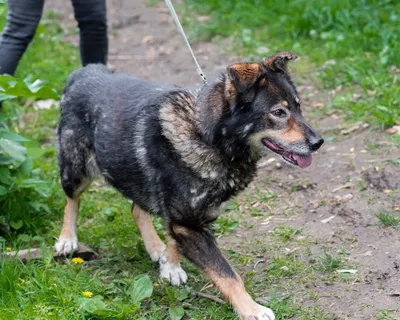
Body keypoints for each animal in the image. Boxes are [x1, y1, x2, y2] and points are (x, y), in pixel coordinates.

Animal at [54, 51, 322, 318]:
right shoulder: (188, 224)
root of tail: (87, 70)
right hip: (76, 169)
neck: (208, 137)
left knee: (136, 208)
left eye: (298, 106)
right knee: (71, 200)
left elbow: (174, 238)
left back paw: (154, 246)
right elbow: (228, 275)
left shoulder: (182, 220)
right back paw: (67, 239)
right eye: (278, 112)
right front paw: (250, 309)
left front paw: (169, 265)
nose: (318, 142)